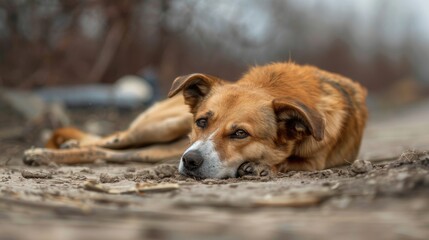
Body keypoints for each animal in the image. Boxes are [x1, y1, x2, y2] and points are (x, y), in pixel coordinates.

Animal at [22, 62, 368, 179]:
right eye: (202, 121)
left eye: (240, 134)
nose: (189, 161)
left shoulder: (317, 161)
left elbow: (290, 162)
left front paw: (261, 167)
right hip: (161, 127)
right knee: (114, 139)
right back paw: (45, 152)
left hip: (157, 150)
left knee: (110, 153)